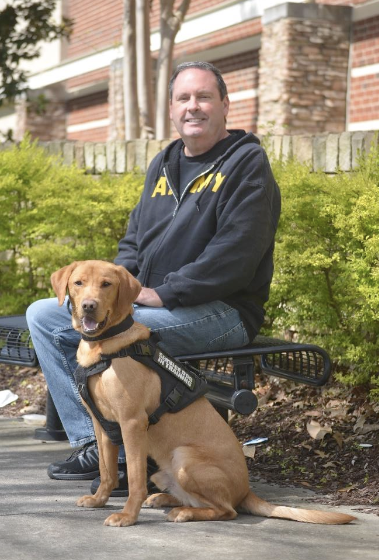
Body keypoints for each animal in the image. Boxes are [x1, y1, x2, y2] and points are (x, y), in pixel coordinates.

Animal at [50, 260, 356, 528]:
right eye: (78, 283)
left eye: (106, 284)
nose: (89, 307)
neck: (105, 346)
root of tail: (246, 490)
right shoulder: (102, 426)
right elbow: (107, 471)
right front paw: (99, 500)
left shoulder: (132, 423)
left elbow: (135, 480)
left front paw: (127, 516)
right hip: (163, 471)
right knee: (195, 499)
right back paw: (165, 499)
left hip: (184, 458)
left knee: (226, 510)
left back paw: (183, 512)